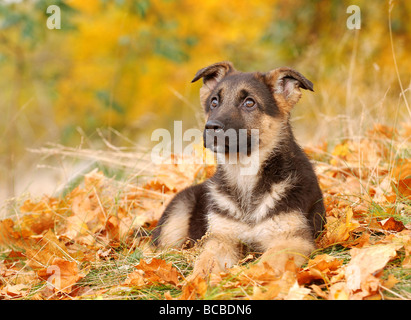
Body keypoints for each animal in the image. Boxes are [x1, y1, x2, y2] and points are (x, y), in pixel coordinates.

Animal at [151, 61, 326, 276]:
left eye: (249, 103)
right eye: (214, 102)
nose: (211, 127)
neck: (244, 173)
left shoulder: (292, 240)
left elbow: (263, 265)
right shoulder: (221, 240)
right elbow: (204, 263)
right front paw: (197, 281)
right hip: (177, 215)